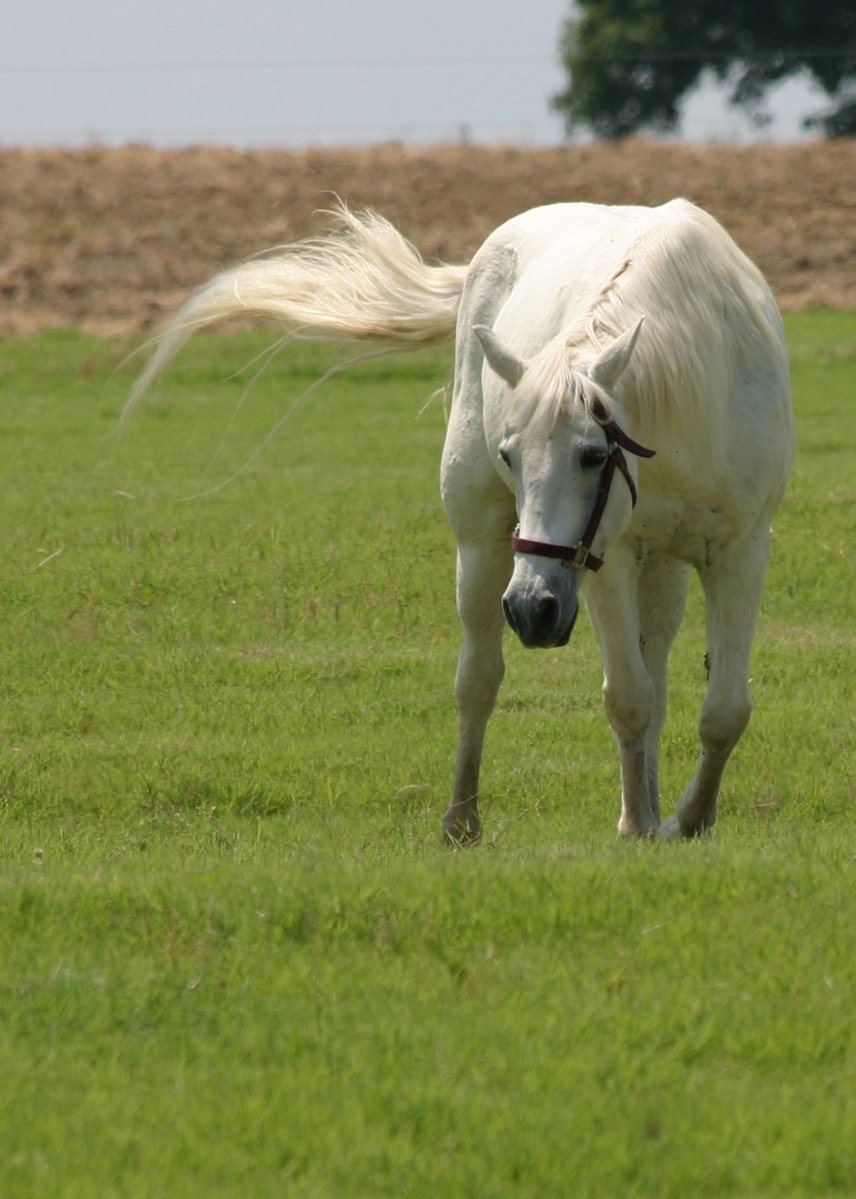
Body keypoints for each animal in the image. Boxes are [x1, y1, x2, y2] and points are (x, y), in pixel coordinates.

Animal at [130, 196, 791, 844]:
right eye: (509, 455)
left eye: (593, 454)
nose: (531, 607)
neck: (692, 386)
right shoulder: (607, 558)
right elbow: (628, 698)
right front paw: (648, 825)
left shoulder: (743, 551)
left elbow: (723, 708)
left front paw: (689, 819)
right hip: (482, 548)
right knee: (480, 679)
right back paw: (463, 818)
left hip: (659, 567)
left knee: (654, 670)